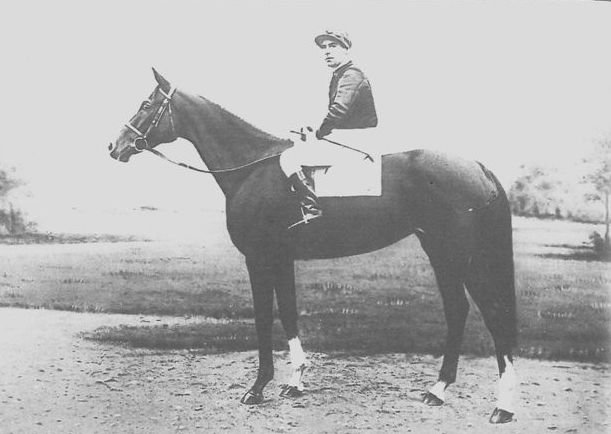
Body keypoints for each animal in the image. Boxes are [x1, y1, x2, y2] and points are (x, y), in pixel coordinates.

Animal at [109, 69, 516, 426]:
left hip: (459, 256)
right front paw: (294, 383)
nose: (115, 146)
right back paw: (440, 390)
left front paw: (257, 389)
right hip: (443, 253)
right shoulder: (281, 258)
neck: (253, 168)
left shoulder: (258, 258)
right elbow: (289, 314)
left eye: (146, 103)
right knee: (460, 310)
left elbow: (263, 318)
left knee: (490, 314)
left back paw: (502, 406)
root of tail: (477, 167)